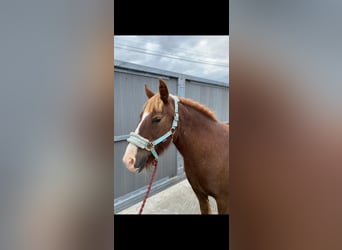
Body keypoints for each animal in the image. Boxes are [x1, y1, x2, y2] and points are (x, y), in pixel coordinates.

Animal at [121, 79, 228, 214]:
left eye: (157, 119)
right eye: (141, 116)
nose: (128, 160)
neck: (210, 152)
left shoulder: (223, 201)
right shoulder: (201, 196)